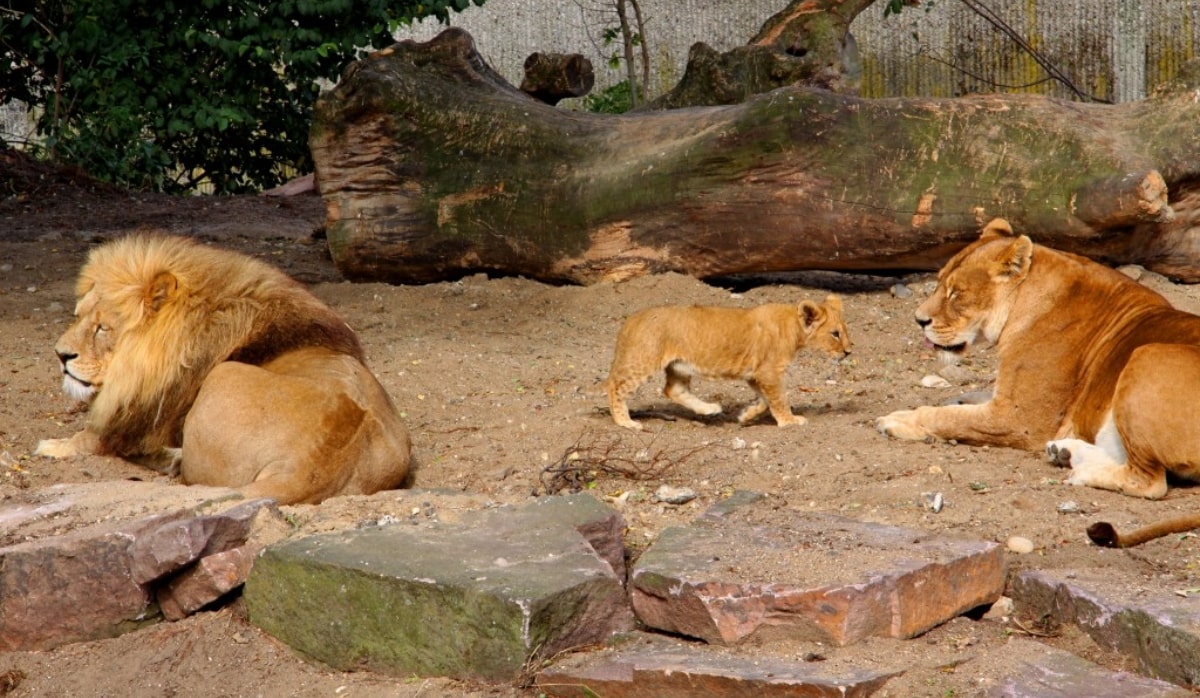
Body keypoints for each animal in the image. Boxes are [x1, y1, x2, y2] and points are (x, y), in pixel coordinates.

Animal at [36, 233, 412, 503]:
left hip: (224, 374)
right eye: (77, 316)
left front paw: (52, 446)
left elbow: (91, 438)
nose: (60, 355)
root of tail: (306, 465)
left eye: (103, 328)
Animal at [604, 292, 849, 429]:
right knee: (616, 388)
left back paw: (709, 409)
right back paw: (626, 422)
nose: (848, 352)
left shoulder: (755, 374)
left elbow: (764, 401)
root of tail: (632, 319)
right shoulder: (769, 372)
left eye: (844, 331)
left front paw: (746, 415)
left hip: (679, 366)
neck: (793, 325)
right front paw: (789, 421)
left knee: (673, 390)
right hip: (642, 362)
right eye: (835, 334)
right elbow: (779, 399)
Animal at [873, 218, 1200, 503]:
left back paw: (1082, 472)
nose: (919, 320)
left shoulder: (1017, 419)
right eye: (939, 283)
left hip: (1147, 354)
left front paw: (898, 420)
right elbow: (962, 405)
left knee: (1150, 482)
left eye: (956, 294)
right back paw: (1064, 452)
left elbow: (946, 417)